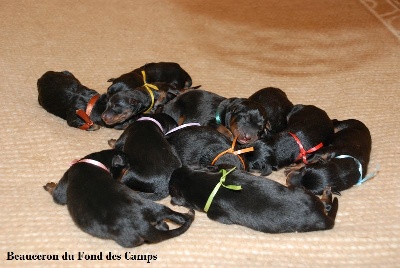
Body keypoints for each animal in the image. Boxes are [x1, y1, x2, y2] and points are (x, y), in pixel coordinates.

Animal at [43, 149, 195, 247]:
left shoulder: (65, 183)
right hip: (155, 207)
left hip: (127, 239)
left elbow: (57, 194)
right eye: (127, 166)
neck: (97, 161)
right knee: (173, 217)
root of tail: (143, 225)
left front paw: (50, 185)